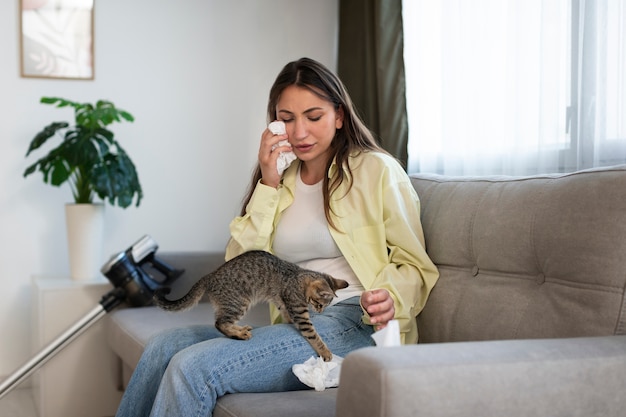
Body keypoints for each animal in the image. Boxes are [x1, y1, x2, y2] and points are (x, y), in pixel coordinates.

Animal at [151, 249, 346, 360]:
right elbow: (313, 335)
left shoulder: (281, 301)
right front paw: (326, 353)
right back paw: (238, 334)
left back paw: (239, 329)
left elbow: (285, 312)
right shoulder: (300, 312)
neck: (297, 276)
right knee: (219, 323)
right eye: (320, 304)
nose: (320, 311)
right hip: (239, 303)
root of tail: (210, 275)